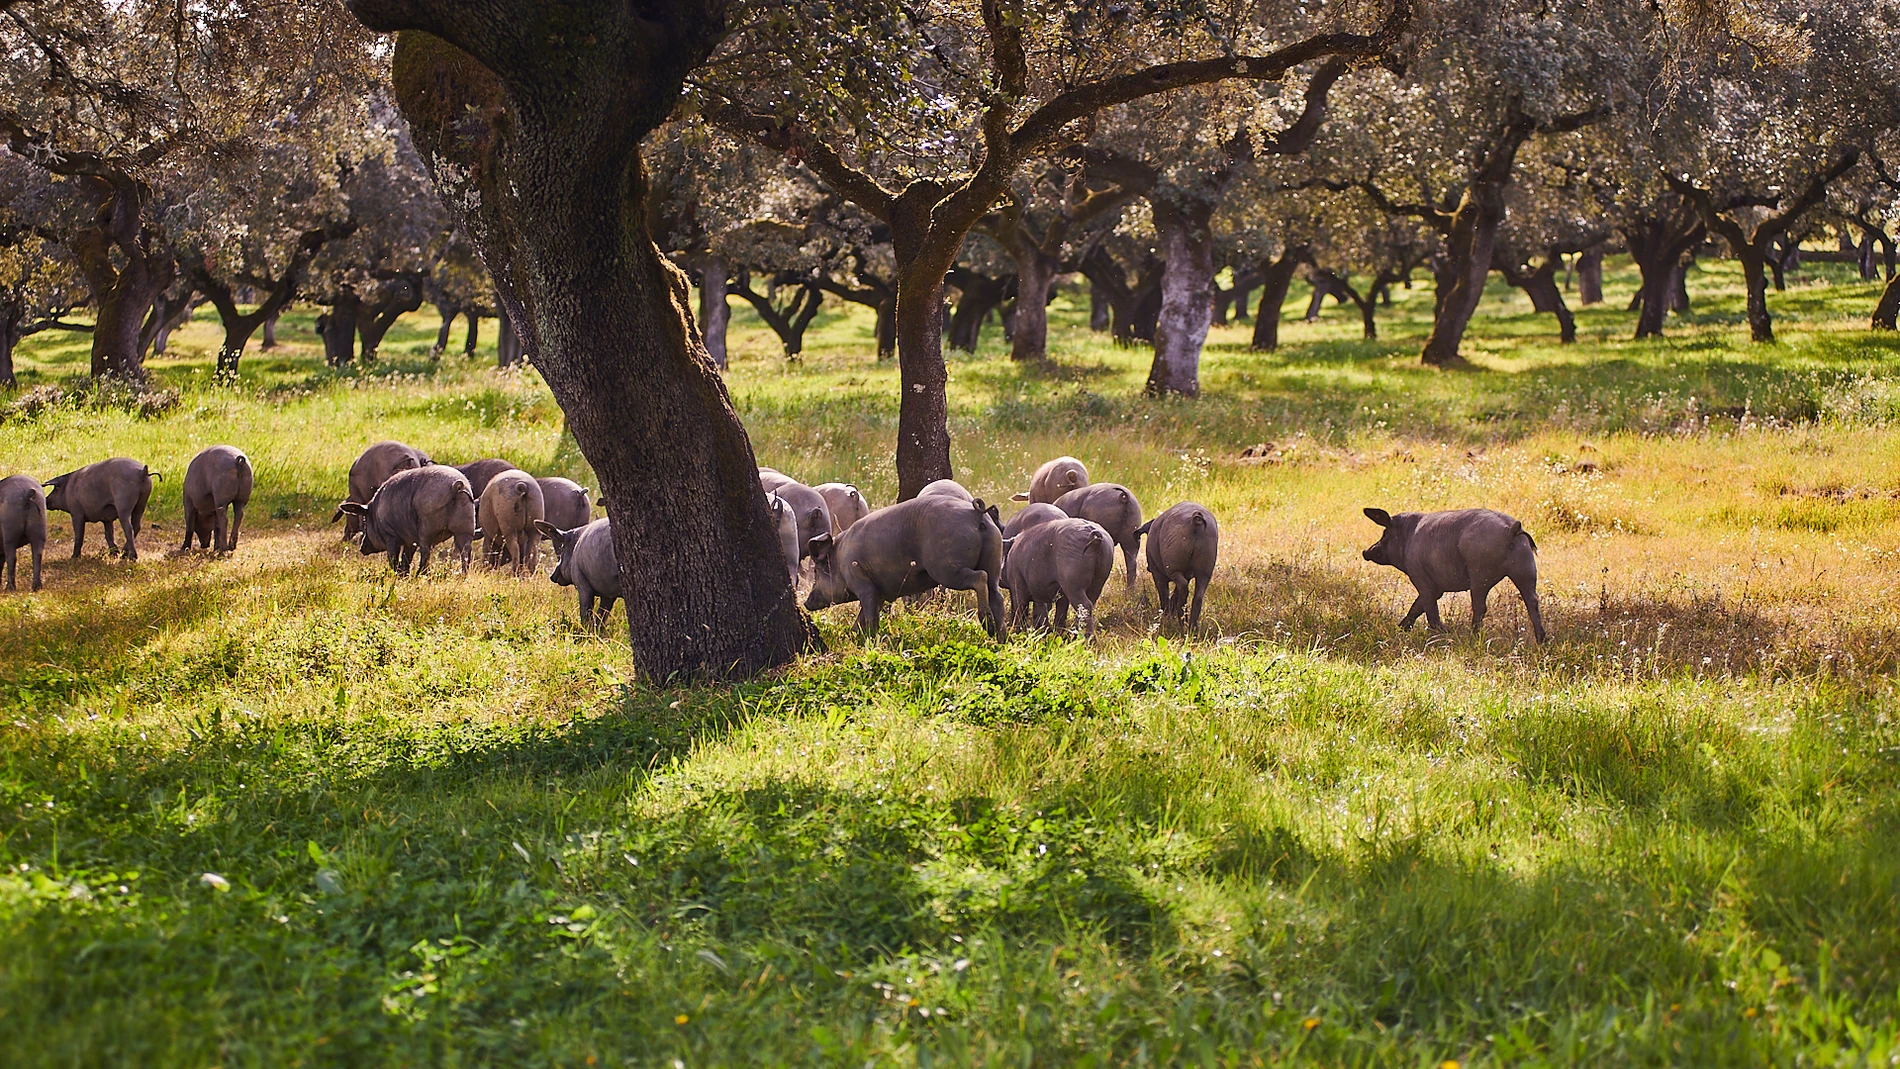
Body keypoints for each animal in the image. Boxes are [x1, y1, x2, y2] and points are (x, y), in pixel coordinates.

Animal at [335, 464, 476, 576]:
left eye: (365, 523)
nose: (361, 548)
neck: (376, 513)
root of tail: (456, 485)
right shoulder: (410, 539)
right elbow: (406, 556)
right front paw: (403, 574)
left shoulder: (391, 536)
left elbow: (393, 557)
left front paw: (397, 574)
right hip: (466, 528)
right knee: (465, 552)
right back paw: (462, 576)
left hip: (426, 528)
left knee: (425, 552)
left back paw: (420, 574)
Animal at [806, 494, 1006, 639]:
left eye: (817, 570)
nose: (807, 603)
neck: (841, 558)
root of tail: (976, 513)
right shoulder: (880, 593)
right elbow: (863, 617)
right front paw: (854, 635)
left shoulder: (862, 583)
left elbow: (870, 616)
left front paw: (869, 639)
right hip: (993, 557)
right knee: (997, 595)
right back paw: (1001, 637)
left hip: (947, 568)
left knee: (980, 577)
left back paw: (987, 623)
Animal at [1137, 502, 1219, 631]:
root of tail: (1196, 520)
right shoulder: (1188, 574)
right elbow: (1174, 594)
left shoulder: (1158, 575)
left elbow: (1164, 596)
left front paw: (1166, 617)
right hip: (1205, 572)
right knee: (1197, 596)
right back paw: (1191, 627)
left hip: (1173, 569)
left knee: (1183, 588)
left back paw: (1182, 621)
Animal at [1361, 507, 1547, 643]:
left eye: (1385, 534)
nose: (1365, 552)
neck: (1407, 537)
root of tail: (1512, 528)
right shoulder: (1437, 588)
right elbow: (1416, 607)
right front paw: (1400, 628)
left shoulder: (1420, 578)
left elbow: (1429, 611)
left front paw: (1444, 633)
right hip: (1526, 569)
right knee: (1532, 601)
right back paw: (1541, 640)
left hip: (1480, 575)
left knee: (1480, 607)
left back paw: (1472, 637)